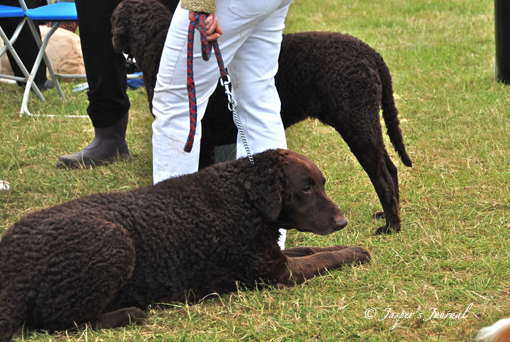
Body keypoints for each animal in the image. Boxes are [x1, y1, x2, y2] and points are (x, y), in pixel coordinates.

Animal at [0, 150, 368, 340]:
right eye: (305, 188)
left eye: (321, 184)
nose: (342, 222)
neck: (242, 198)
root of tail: (13, 266)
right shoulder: (276, 274)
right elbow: (321, 259)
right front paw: (355, 252)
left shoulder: (272, 256)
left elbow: (312, 251)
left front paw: (352, 246)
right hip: (114, 244)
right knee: (61, 324)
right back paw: (129, 314)